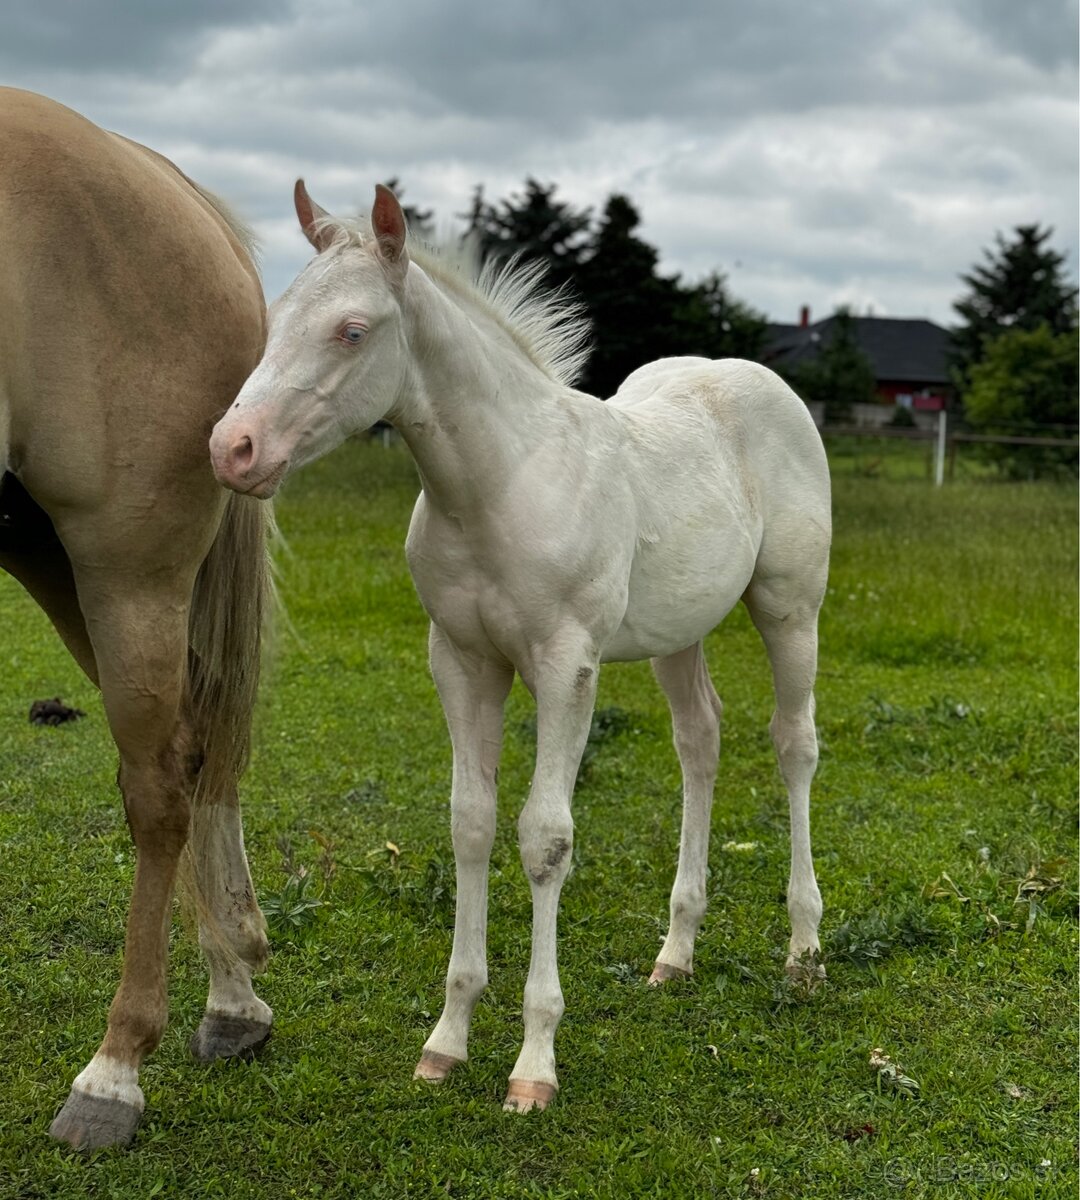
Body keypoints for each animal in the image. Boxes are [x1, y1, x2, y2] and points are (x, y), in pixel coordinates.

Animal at [2, 91, 278, 1142]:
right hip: (47, 551)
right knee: (195, 751)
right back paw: (233, 1002)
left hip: (125, 568)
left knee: (160, 787)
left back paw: (114, 1071)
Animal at [213, 180, 835, 1113]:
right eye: (277, 316)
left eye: (352, 330)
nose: (232, 449)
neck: (494, 484)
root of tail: (759, 380)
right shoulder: (461, 661)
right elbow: (470, 824)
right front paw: (446, 1041)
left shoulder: (564, 664)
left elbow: (544, 839)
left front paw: (534, 1062)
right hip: (677, 631)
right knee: (701, 740)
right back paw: (675, 952)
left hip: (790, 606)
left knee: (794, 744)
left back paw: (802, 953)